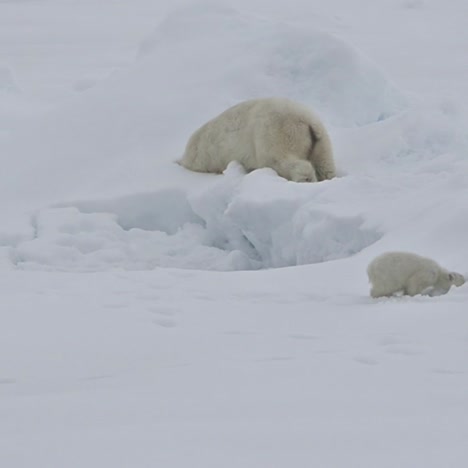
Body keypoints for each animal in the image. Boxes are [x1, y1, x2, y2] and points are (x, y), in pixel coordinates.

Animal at [177, 97, 334, 183]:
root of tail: (306, 121)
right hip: (321, 140)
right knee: (325, 165)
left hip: (276, 134)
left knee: (278, 160)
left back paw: (305, 179)